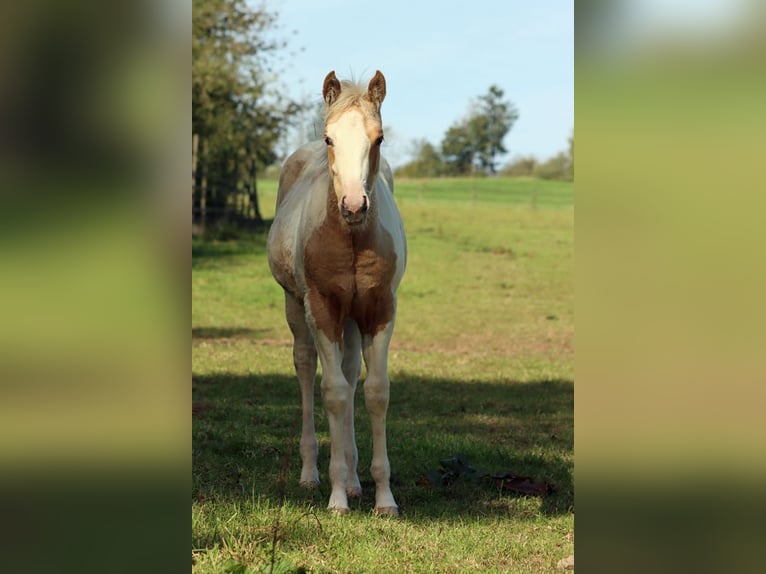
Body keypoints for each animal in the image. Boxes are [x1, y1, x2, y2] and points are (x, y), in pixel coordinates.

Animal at [267, 71, 406, 515]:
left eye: (379, 138)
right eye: (330, 138)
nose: (354, 205)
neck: (351, 237)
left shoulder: (379, 309)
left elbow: (375, 392)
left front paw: (383, 498)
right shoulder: (323, 308)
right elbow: (333, 393)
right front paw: (336, 497)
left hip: (352, 317)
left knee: (348, 370)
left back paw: (356, 480)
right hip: (297, 307)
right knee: (307, 367)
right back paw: (312, 474)